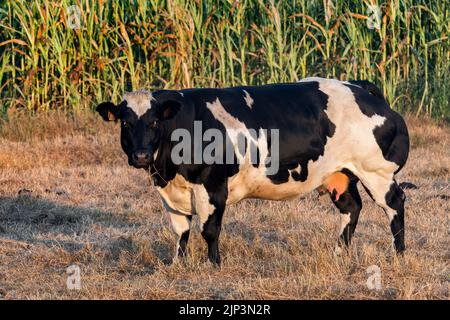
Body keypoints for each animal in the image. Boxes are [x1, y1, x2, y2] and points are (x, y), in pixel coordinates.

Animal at [96, 77, 410, 264]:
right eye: (126, 123)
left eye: (153, 122)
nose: (140, 155)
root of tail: (358, 85)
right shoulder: (170, 192)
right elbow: (181, 230)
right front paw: (177, 264)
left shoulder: (212, 185)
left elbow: (209, 229)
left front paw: (214, 264)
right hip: (339, 174)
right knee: (351, 208)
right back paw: (339, 252)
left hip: (376, 172)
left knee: (394, 205)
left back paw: (398, 254)